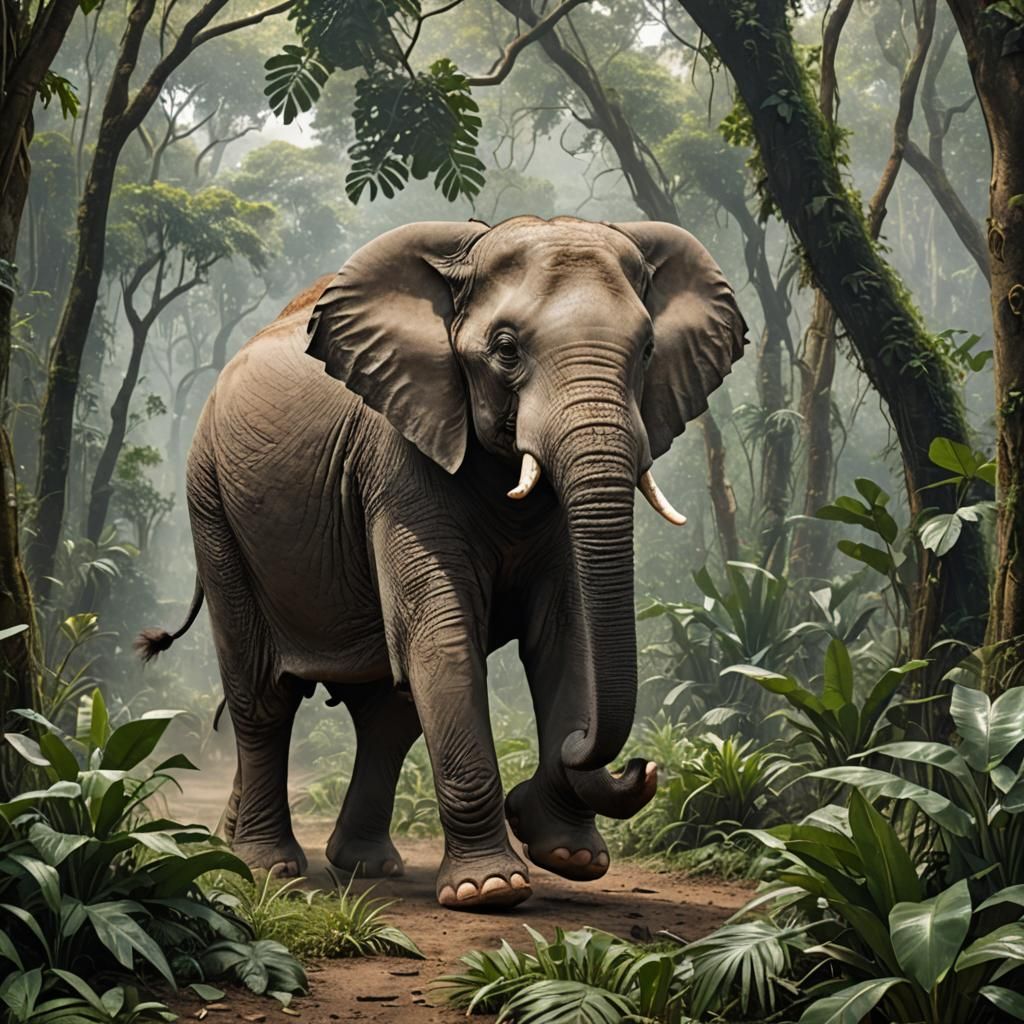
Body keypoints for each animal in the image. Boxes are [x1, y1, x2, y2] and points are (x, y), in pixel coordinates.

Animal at [138, 215, 746, 911]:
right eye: (506, 349)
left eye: (647, 351)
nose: (643, 765)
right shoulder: (395, 459)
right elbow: (442, 635)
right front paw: (491, 890)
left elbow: (562, 635)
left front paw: (571, 858)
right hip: (211, 504)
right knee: (264, 693)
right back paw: (267, 867)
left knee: (387, 711)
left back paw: (358, 866)